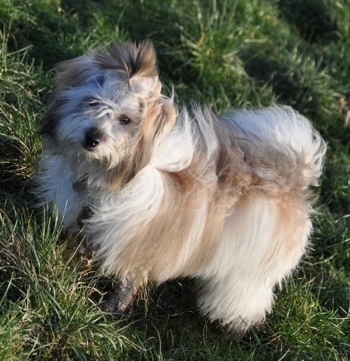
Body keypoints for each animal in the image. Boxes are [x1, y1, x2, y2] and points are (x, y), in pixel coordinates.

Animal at [34, 40, 326, 334]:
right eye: (92, 101)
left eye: (125, 120)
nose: (92, 138)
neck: (111, 173)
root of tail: (295, 178)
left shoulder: (140, 242)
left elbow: (129, 277)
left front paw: (114, 306)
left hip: (249, 271)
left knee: (246, 296)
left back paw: (235, 325)